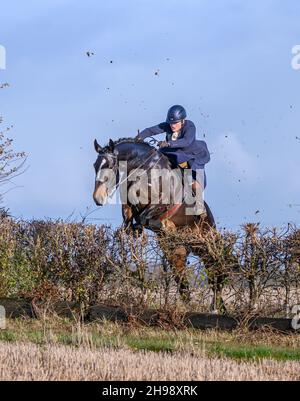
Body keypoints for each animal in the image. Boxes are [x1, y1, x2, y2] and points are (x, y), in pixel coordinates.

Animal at [92, 136, 226, 310]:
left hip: (205, 243)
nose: (97, 198)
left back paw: (216, 307)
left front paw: (164, 226)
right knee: (182, 280)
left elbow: (145, 217)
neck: (142, 168)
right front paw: (136, 230)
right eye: (95, 166)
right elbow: (129, 221)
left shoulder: (161, 203)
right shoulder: (129, 205)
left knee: (214, 271)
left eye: (109, 166)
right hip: (178, 254)